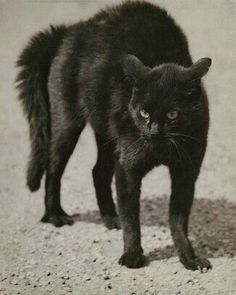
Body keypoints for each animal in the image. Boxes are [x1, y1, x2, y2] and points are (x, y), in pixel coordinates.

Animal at [16, 1, 212, 272]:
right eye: (144, 112)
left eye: (173, 114)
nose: (153, 130)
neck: (161, 148)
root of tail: (73, 28)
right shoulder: (128, 168)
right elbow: (132, 216)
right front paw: (132, 256)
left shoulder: (186, 170)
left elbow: (178, 218)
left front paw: (189, 257)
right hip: (67, 123)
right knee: (53, 168)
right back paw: (56, 215)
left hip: (108, 137)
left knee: (97, 171)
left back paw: (110, 217)